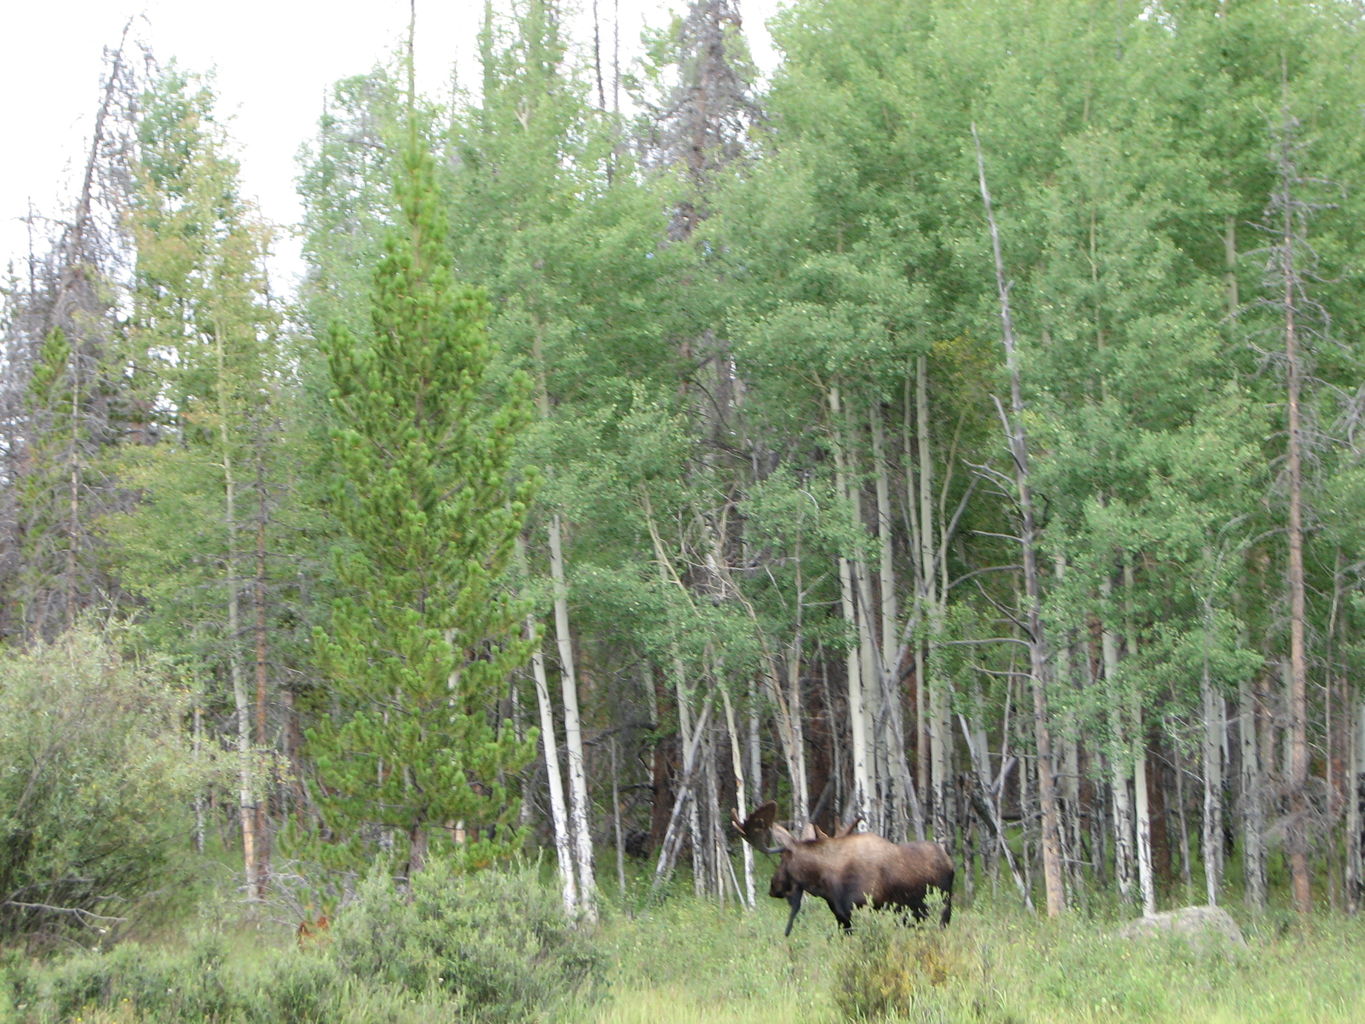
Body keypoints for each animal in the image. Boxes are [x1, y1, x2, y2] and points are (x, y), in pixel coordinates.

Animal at [731, 802, 955, 939]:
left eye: (782, 858)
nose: (773, 886)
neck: (825, 884)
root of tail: (950, 863)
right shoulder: (842, 918)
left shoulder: (864, 910)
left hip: (942, 909)